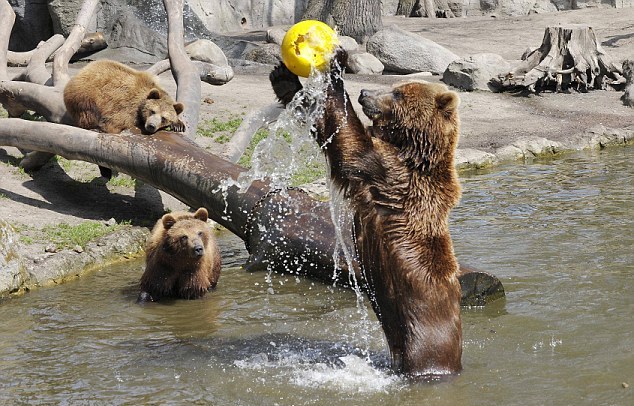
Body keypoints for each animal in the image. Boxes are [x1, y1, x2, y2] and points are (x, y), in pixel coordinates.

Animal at [266, 50, 460, 378]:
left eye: (397, 92)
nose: (365, 92)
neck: (413, 149)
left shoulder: (391, 173)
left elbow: (348, 144)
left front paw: (336, 63)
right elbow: (326, 127)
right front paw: (284, 76)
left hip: (426, 336)